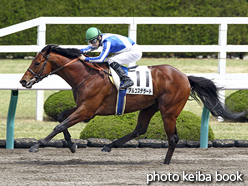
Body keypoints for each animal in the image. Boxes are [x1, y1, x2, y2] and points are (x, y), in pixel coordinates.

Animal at [20, 44, 247, 164]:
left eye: (37, 63)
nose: (23, 81)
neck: (86, 75)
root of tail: (185, 77)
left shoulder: (87, 110)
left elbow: (60, 124)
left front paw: (36, 145)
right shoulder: (84, 108)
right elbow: (61, 119)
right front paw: (71, 145)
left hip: (168, 110)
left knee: (172, 137)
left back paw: (166, 162)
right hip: (149, 107)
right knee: (140, 129)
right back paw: (109, 146)